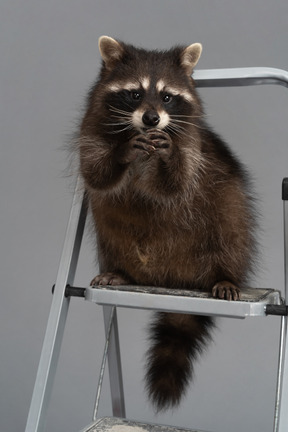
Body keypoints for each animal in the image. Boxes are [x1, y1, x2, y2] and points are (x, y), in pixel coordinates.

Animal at [77, 36, 256, 408]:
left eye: (167, 97)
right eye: (134, 93)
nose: (152, 118)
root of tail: (175, 280)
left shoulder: (193, 145)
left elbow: (176, 183)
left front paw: (168, 156)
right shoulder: (91, 129)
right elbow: (96, 172)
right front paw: (121, 154)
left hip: (227, 211)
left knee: (232, 231)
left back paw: (224, 275)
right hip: (112, 240)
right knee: (110, 234)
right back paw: (120, 272)